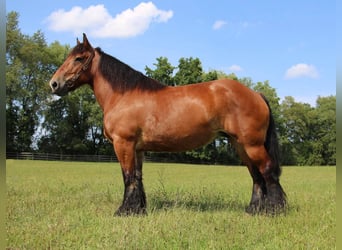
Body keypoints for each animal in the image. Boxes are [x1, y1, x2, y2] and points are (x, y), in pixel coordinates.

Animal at [49, 33, 288, 216]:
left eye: (79, 58)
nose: (54, 84)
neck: (124, 95)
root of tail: (255, 94)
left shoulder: (123, 144)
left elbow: (128, 177)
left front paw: (123, 211)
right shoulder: (137, 149)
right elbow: (137, 178)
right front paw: (138, 210)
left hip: (251, 145)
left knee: (267, 170)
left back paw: (274, 210)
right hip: (240, 145)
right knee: (256, 175)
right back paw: (254, 210)